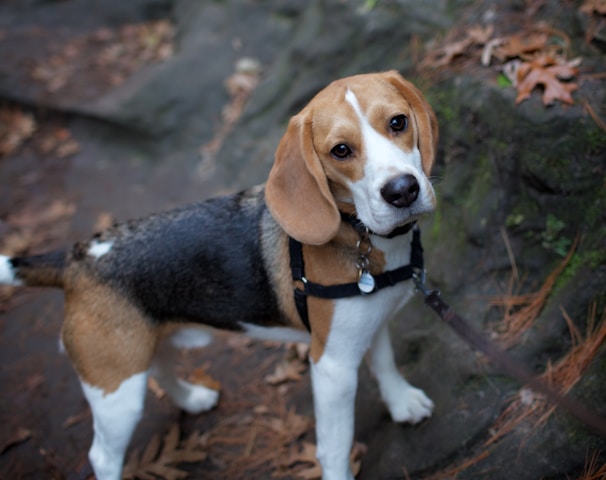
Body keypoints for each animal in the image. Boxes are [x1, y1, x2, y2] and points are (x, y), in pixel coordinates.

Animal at [0, 71, 436, 480]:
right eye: (340, 150)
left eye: (398, 122)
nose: (402, 190)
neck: (359, 233)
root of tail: (75, 258)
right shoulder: (332, 365)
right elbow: (336, 445)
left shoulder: (371, 322)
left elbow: (385, 362)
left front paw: (401, 402)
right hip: (116, 390)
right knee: (102, 456)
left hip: (146, 344)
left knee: (160, 367)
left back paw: (192, 398)